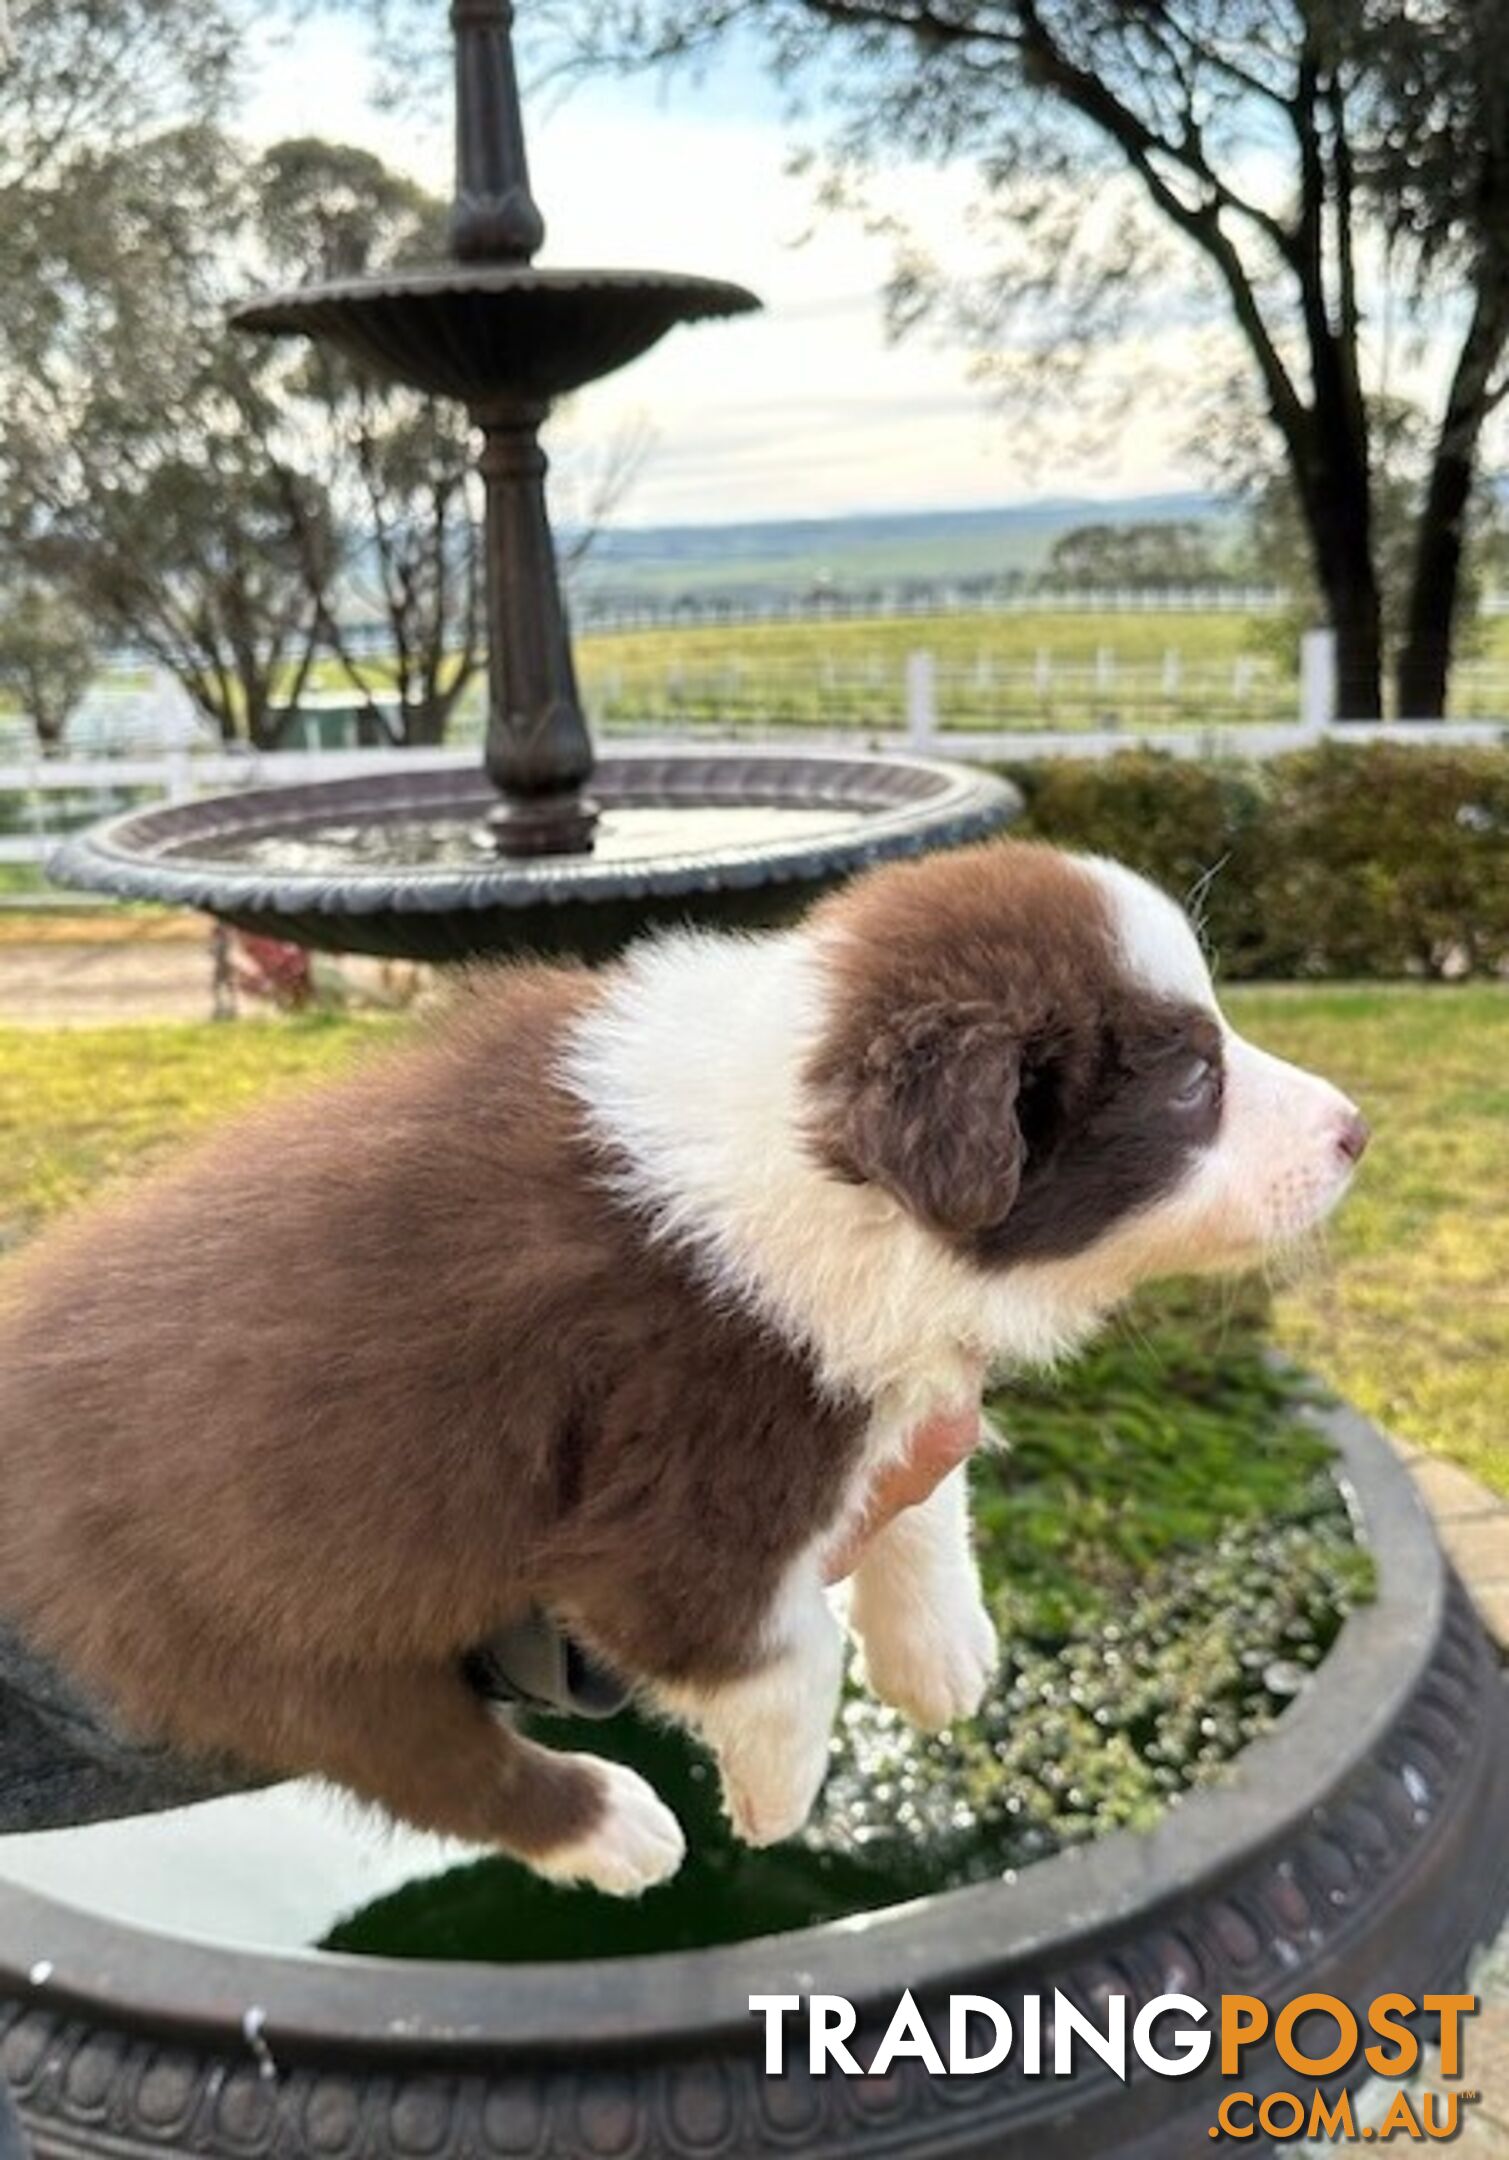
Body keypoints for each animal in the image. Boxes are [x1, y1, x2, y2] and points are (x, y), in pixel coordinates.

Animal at [0, 842, 1372, 1892]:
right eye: (1194, 1081)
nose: (1357, 1130)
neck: (816, 1147)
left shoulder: (871, 1374)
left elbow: (921, 1481)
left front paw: (942, 1651)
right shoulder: (682, 1496)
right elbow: (780, 1644)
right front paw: (777, 1794)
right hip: (241, 1616)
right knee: (412, 1755)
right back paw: (611, 1827)